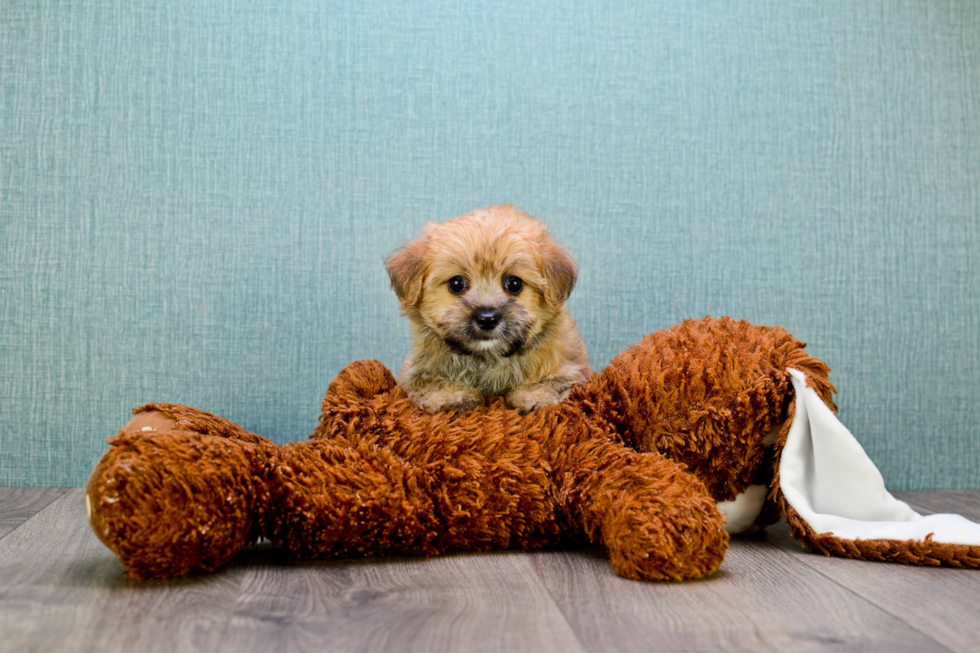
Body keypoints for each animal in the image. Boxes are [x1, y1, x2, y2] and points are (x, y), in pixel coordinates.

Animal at [386, 206, 592, 416]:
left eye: (514, 284)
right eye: (456, 283)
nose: (487, 319)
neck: (487, 358)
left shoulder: (572, 370)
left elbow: (550, 381)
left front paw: (532, 397)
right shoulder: (414, 372)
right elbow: (430, 382)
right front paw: (453, 397)